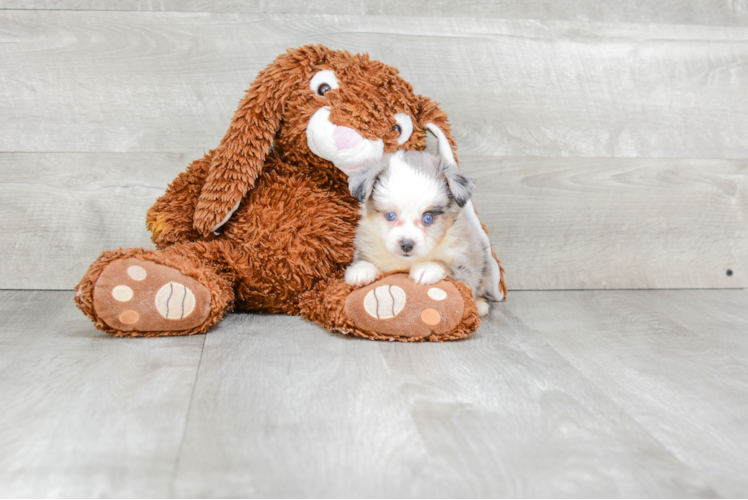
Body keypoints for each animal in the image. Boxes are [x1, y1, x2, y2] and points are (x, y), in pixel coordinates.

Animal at [344, 150, 496, 316]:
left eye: (428, 217)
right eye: (390, 215)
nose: (406, 245)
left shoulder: (466, 270)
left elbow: (446, 265)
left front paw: (427, 267)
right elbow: (364, 260)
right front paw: (361, 270)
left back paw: (480, 305)